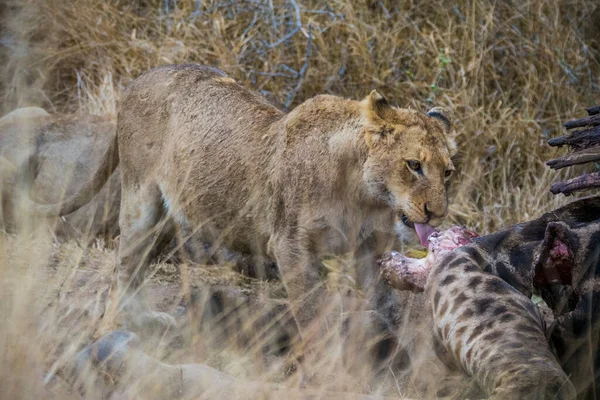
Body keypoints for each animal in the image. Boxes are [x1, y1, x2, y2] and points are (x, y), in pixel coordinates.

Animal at [28, 64, 458, 358]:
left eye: (447, 172)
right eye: (413, 165)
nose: (436, 213)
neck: (363, 195)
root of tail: (136, 81)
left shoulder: (370, 248)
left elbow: (388, 309)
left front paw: (389, 355)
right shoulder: (290, 245)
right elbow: (312, 312)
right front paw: (323, 362)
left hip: (167, 215)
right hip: (140, 201)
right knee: (124, 264)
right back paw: (121, 327)